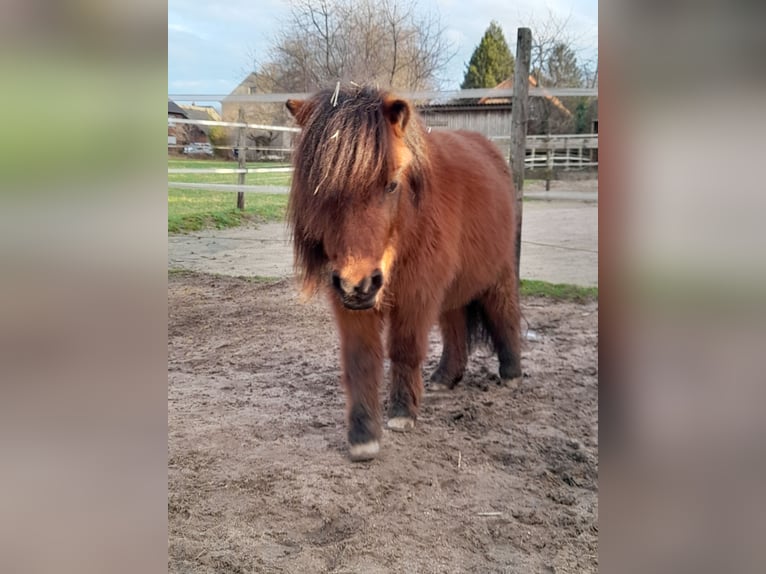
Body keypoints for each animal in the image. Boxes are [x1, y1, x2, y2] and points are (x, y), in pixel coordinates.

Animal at [288, 85, 520, 464]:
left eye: (392, 184)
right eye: (319, 187)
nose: (359, 283)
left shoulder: (417, 294)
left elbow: (405, 349)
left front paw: (401, 413)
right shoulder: (350, 303)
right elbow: (361, 361)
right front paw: (363, 436)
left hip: (498, 274)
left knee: (505, 314)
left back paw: (511, 373)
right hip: (450, 289)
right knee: (455, 327)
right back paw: (445, 377)